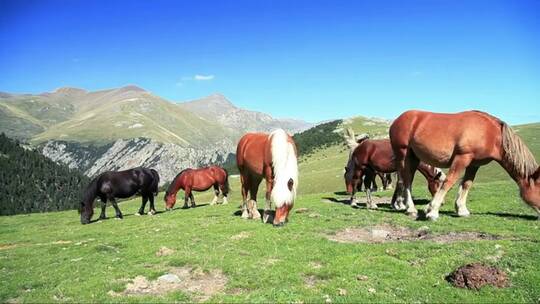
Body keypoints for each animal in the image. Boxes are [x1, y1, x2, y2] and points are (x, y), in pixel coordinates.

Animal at [390, 110, 540, 220]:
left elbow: (467, 184)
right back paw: (410, 209)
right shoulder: (462, 158)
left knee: (407, 180)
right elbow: (448, 182)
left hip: (414, 158)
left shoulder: (474, 164)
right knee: (406, 181)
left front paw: (461, 210)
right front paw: (432, 211)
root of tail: (397, 120)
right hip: (404, 155)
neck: (490, 133)